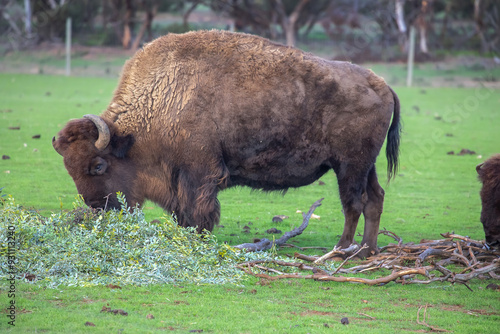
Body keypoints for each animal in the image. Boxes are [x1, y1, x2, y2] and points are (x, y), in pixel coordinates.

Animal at [52, 30, 400, 258]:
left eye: (98, 165)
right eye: (70, 169)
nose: (98, 208)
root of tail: (383, 85)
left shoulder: (200, 173)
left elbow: (199, 210)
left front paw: (198, 238)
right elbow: (184, 212)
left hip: (349, 166)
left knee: (354, 203)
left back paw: (342, 250)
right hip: (365, 166)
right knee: (375, 198)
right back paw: (367, 251)